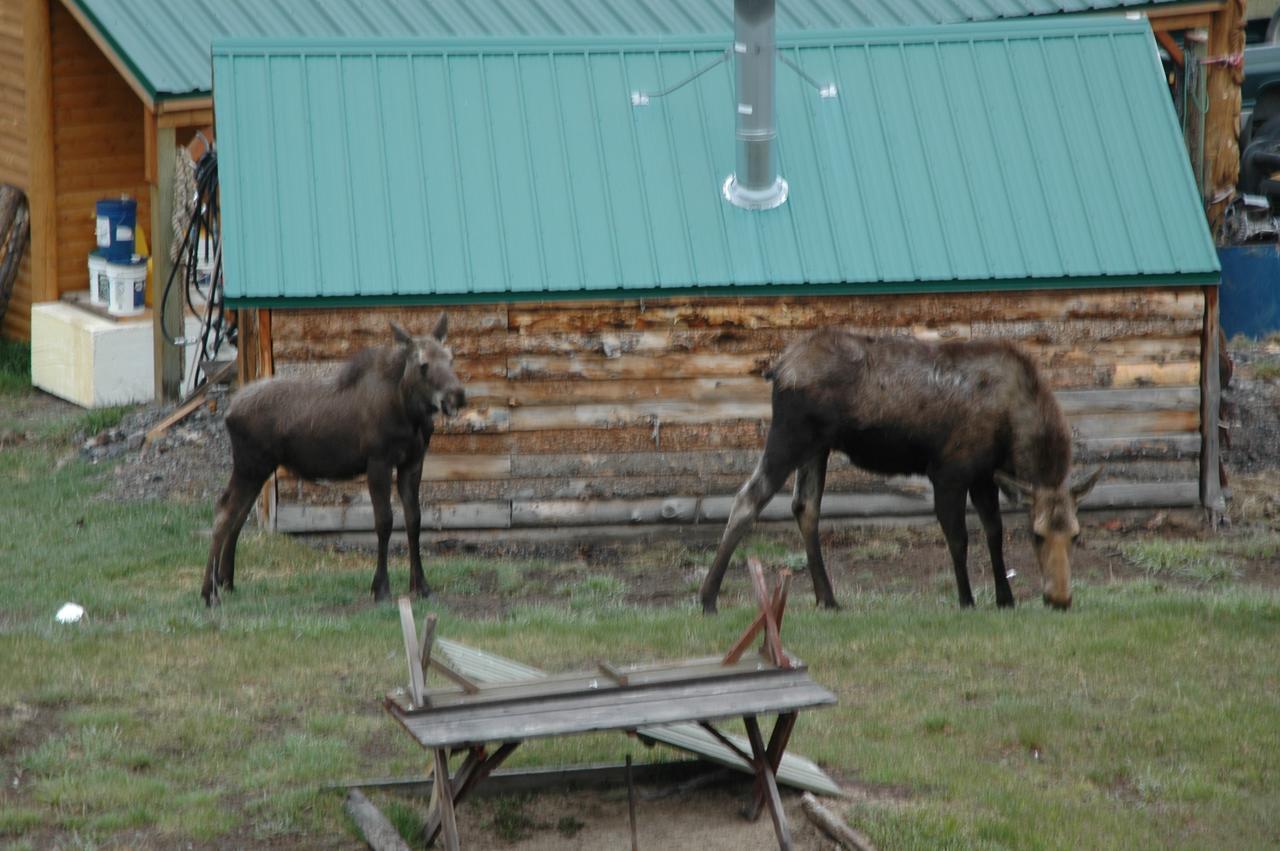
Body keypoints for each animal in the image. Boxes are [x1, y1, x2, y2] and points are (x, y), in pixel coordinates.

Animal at [197, 317, 463, 604]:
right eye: (423, 365)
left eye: (450, 359)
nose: (457, 395)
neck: (409, 413)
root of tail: (229, 413)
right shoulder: (378, 461)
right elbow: (384, 521)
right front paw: (380, 588)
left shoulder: (412, 462)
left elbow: (414, 519)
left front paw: (421, 585)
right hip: (249, 465)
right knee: (224, 512)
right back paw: (209, 592)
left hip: (259, 468)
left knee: (238, 515)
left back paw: (226, 582)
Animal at [701, 327, 1100, 614]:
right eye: (1037, 535)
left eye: (1076, 534)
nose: (1060, 599)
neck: (1014, 430)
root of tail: (779, 369)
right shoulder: (949, 472)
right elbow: (959, 538)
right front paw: (967, 600)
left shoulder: (983, 477)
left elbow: (994, 532)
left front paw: (1006, 598)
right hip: (791, 436)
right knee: (748, 498)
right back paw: (707, 598)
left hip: (817, 448)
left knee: (805, 507)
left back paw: (827, 598)